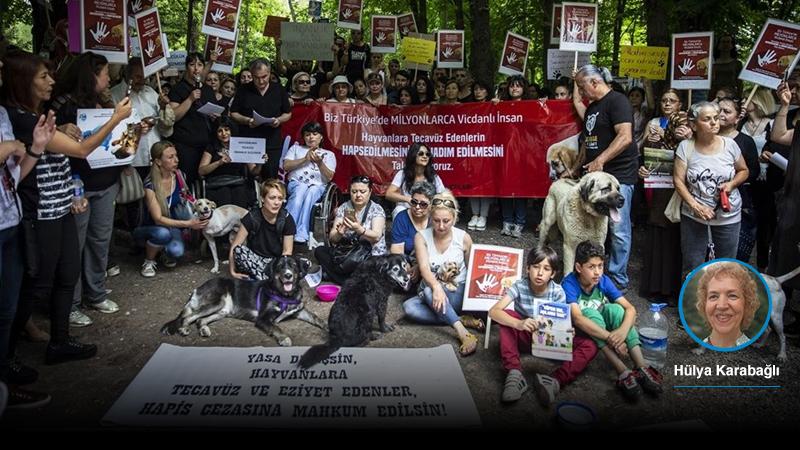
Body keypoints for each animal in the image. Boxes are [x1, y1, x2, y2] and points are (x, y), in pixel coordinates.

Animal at [161, 255, 326, 346]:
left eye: (293, 265)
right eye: (280, 267)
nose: (288, 275)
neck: (286, 295)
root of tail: (198, 288)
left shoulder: (298, 311)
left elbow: (315, 317)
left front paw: (326, 325)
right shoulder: (263, 319)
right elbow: (276, 328)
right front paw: (284, 338)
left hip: (222, 311)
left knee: (200, 320)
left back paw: (204, 329)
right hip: (216, 302)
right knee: (188, 316)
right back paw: (183, 328)